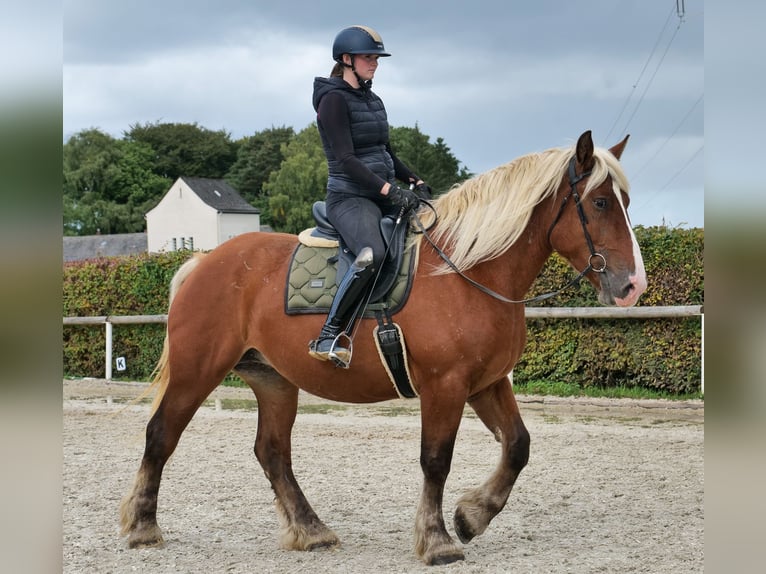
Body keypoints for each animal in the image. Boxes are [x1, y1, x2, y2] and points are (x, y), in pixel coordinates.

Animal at [120, 130, 647, 566]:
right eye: (601, 202)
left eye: (624, 200)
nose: (632, 286)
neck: (468, 273)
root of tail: (205, 262)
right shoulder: (445, 386)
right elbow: (436, 459)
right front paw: (437, 540)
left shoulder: (487, 382)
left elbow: (517, 446)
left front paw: (471, 516)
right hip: (197, 371)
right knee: (161, 434)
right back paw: (143, 527)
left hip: (274, 382)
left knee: (272, 451)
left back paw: (311, 530)